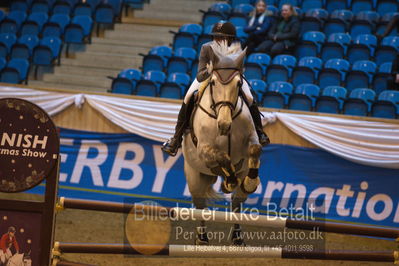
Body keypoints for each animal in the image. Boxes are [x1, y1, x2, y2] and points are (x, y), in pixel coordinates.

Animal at [182, 43, 262, 245]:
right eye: (213, 83)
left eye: (239, 84)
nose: (224, 125)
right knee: (200, 206)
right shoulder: (204, 149)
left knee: (236, 204)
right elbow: (223, 157)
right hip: (194, 177)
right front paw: (229, 180)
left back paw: (237, 236)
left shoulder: (251, 138)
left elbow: (255, 149)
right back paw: (202, 238)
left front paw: (250, 182)